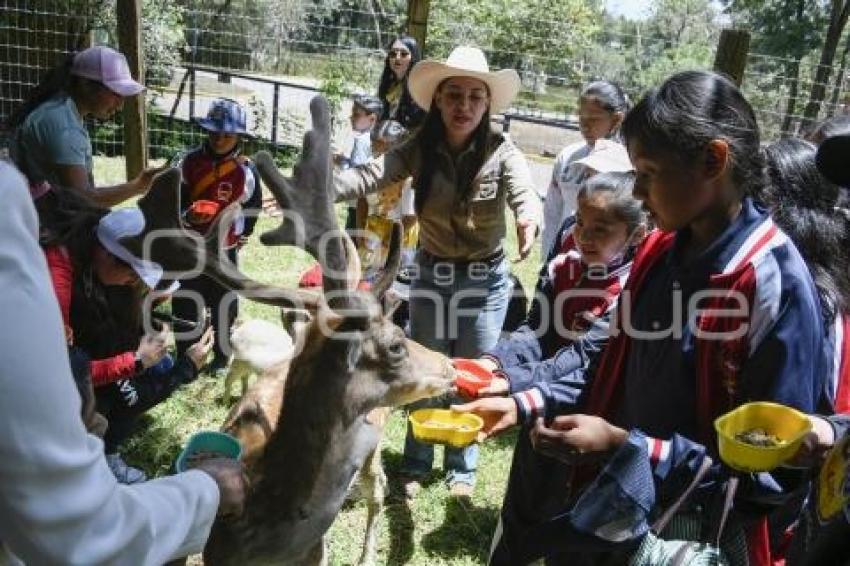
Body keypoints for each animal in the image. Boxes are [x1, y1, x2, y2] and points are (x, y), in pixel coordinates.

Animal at [121, 96, 454, 564]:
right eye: (395, 345)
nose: (449, 365)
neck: (264, 531)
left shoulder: (314, 548)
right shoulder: (215, 550)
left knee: (377, 492)